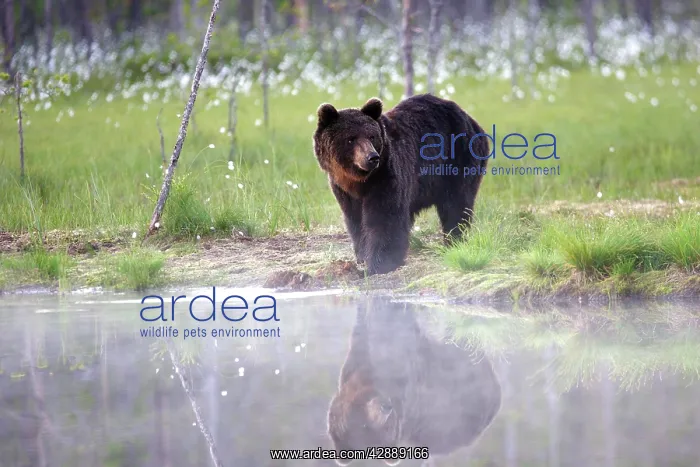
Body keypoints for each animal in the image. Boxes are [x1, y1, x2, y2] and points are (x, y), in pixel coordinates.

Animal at [313, 93, 489, 275]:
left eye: (371, 136)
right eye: (350, 139)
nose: (372, 157)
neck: (359, 181)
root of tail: (471, 120)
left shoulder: (386, 176)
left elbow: (384, 217)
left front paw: (380, 263)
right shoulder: (343, 190)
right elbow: (356, 220)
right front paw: (362, 257)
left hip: (457, 160)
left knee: (456, 204)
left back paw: (454, 241)